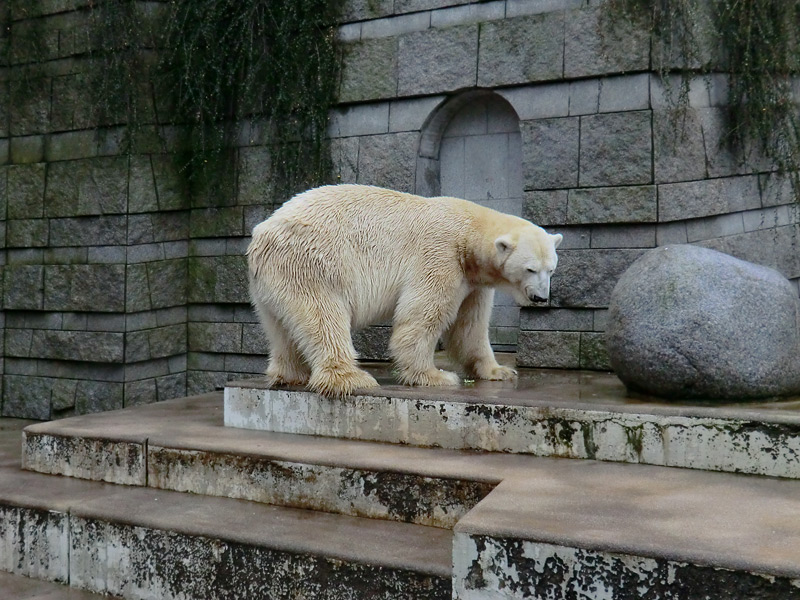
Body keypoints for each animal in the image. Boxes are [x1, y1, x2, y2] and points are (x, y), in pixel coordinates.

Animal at [248, 185, 564, 396]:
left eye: (551, 269)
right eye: (530, 269)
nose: (540, 297)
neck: (468, 230)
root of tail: (261, 235)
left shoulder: (473, 281)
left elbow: (470, 327)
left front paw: (499, 371)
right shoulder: (440, 255)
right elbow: (423, 315)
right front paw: (435, 376)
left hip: (273, 281)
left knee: (283, 326)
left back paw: (290, 375)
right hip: (312, 264)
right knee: (323, 316)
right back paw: (352, 378)